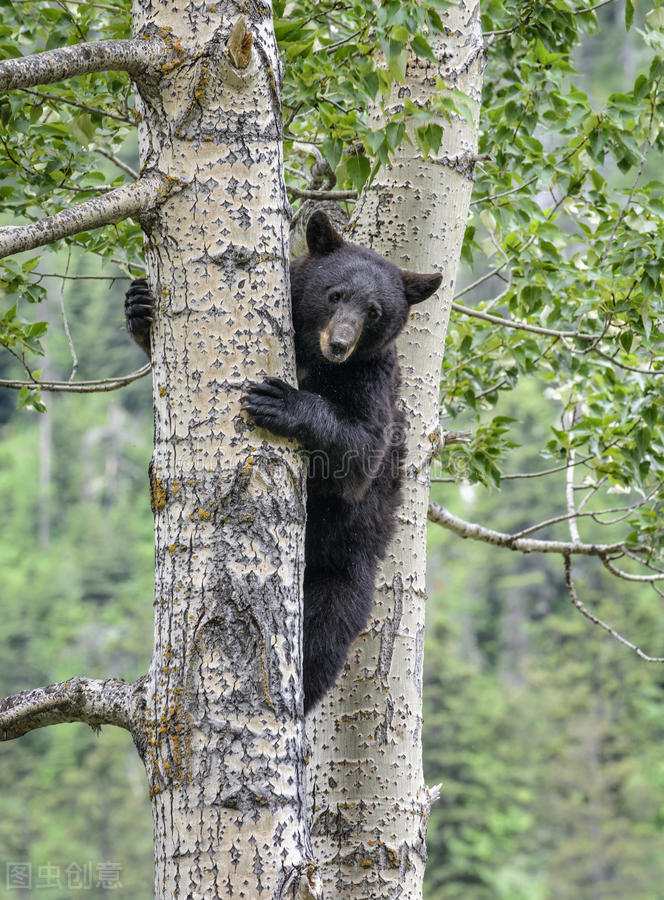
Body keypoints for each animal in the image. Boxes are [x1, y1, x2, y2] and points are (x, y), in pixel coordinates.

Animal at [125, 210, 441, 712]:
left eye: (375, 312)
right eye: (336, 294)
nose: (340, 343)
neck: (315, 358)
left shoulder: (373, 381)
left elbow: (360, 454)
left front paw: (283, 401)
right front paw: (138, 305)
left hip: (343, 569)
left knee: (323, 636)